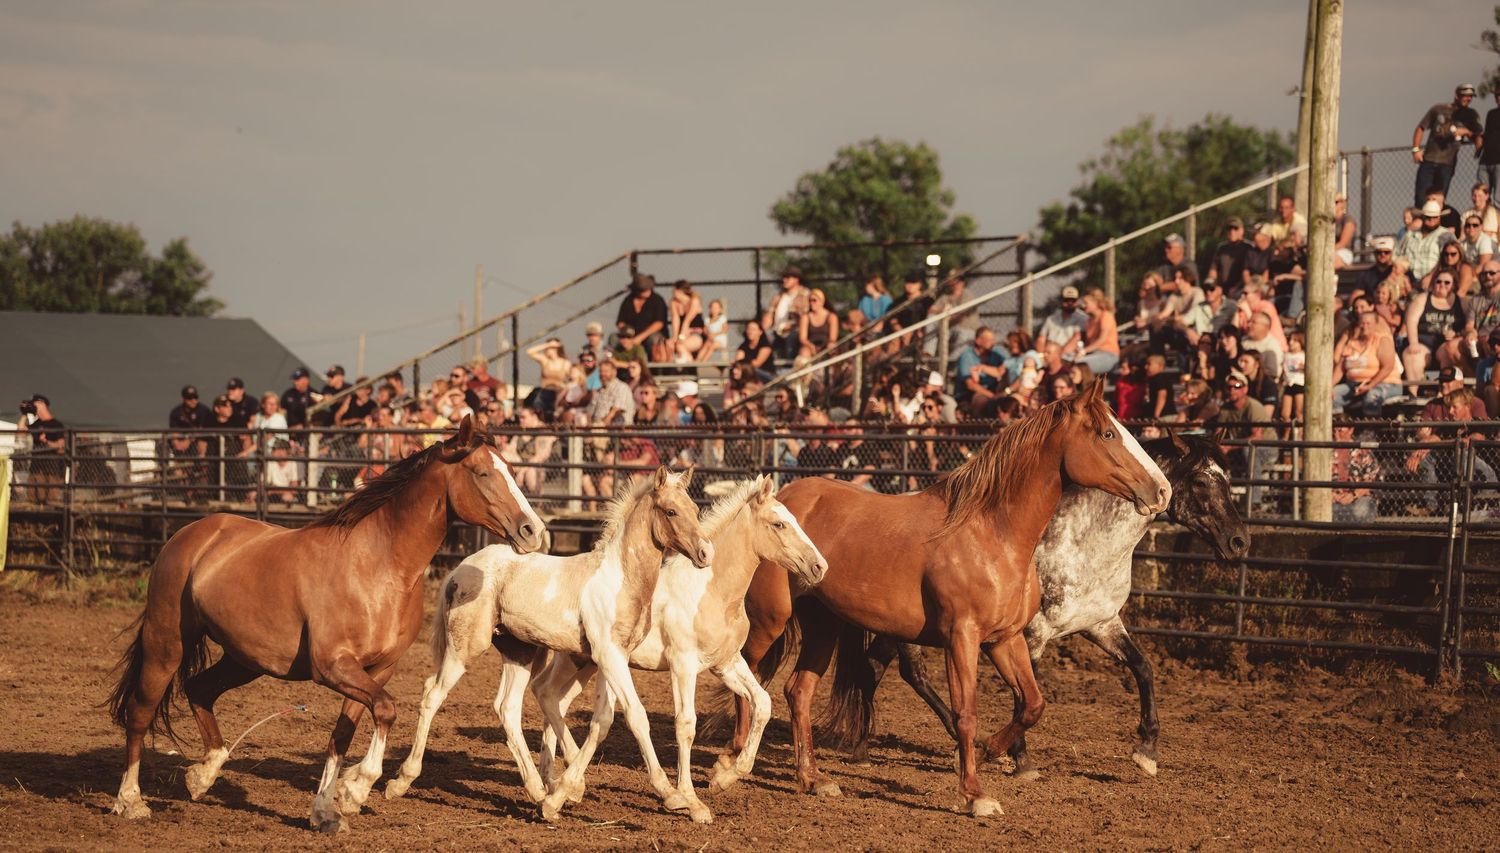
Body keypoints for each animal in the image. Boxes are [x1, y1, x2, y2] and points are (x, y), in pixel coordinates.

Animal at [106, 415, 545, 833]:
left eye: (510, 468)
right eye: (482, 472)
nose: (533, 531)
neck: (378, 566)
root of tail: (191, 533)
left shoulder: (376, 670)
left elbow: (343, 735)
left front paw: (326, 810)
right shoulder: (332, 667)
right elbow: (386, 710)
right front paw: (357, 788)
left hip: (245, 659)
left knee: (199, 689)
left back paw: (203, 775)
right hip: (167, 644)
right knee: (141, 712)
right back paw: (131, 801)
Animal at [382, 465, 713, 822]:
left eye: (695, 510)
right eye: (670, 511)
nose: (706, 553)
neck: (620, 579)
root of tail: (457, 570)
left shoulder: (613, 657)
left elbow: (603, 720)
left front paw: (565, 791)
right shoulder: (609, 656)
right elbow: (636, 716)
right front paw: (673, 795)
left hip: (522, 653)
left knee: (507, 707)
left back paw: (538, 789)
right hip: (464, 649)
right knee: (432, 694)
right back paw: (401, 781)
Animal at [528, 476, 828, 823]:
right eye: (779, 524)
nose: (819, 566)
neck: (712, 591)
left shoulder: (726, 663)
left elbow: (763, 703)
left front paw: (727, 777)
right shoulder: (683, 664)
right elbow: (686, 724)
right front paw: (690, 800)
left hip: (587, 662)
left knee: (551, 695)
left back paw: (552, 783)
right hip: (581, 658)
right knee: (548, 694)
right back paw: (557, 786)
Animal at [728, 381, 1172, 816]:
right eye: (1108, 433)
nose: (1161, 490)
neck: (991, 533)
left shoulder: (1006, 640)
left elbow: (1032, 703)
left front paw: (994, 751)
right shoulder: (962, 638)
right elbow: (966, 714)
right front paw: (975, 794)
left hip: (825, 625)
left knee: (798, 691)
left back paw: (812, 778)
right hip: (770, 620)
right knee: (747, 676)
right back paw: (733, 759)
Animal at [840, 431, 1250, 778]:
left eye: (1228, 480)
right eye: (1200, 481)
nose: (1239, 541)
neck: (1082, 544)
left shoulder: (1102, 624)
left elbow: (1144, 668)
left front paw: (1146, 751)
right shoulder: (1033, 635)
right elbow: (1025, 695)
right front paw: (1021, 760)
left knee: (877, 667)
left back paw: (865, 750)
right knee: (910, 672)